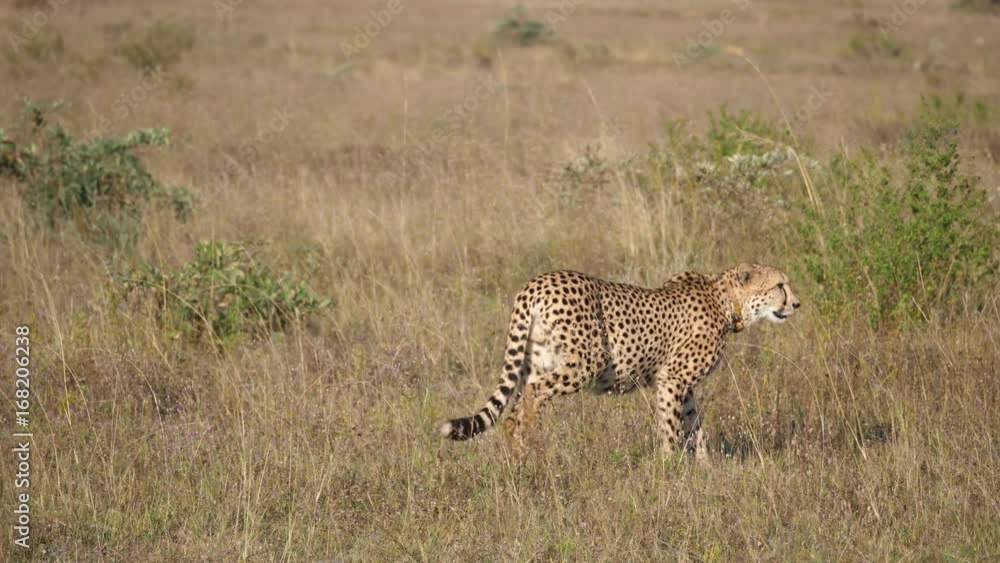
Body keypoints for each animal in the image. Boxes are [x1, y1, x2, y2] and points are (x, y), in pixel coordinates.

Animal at [439, 263, 801, 459]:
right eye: (780, 285)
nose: (797, 303)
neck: (726, 301)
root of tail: (537, 282)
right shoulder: (672, 379)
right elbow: (671, 428)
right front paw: (668, 469)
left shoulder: (684, 386)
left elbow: (695, 426)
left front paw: (704, 468)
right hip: (589, 361)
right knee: (532, 397)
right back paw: (535, 447)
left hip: (537, 362)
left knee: (513, 412)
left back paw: (518, 459)